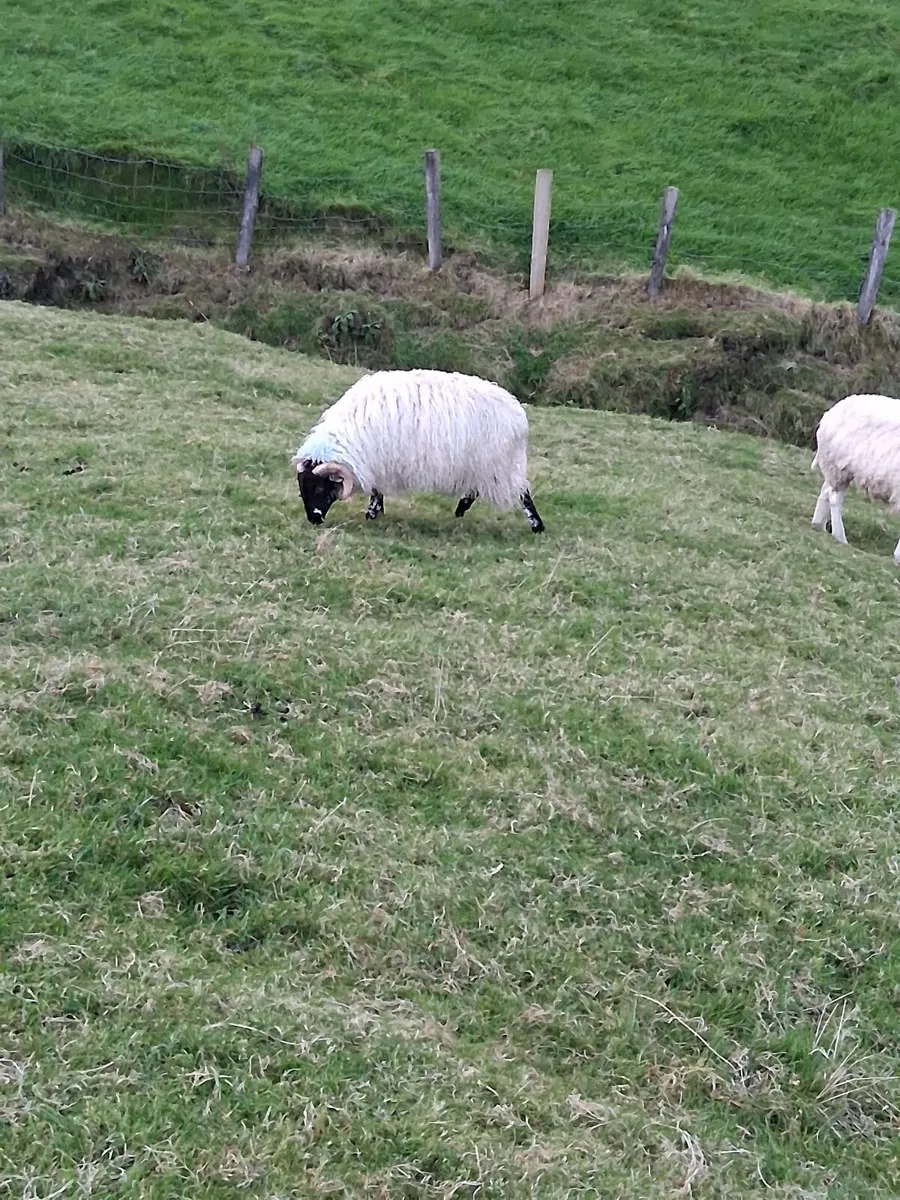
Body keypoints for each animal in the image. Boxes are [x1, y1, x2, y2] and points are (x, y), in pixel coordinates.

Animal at [291, 368, 545, 532]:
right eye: (303, 489)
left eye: (321, 488)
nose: (314, 520)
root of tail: (518, 414)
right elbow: (377, 491)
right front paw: (376, 512)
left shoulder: (382, 460)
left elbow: (376, 490)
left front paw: (372, 513)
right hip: (483, 465)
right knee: (475, 491)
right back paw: (460, 510)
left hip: (498, 464)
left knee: (522, 494)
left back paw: (537, 526)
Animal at [811, 392, 900, 561]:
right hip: (839, 468)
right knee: (834, 497)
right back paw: (840, 537)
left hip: (835, 468)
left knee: (825, 491)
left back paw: (818, 525)